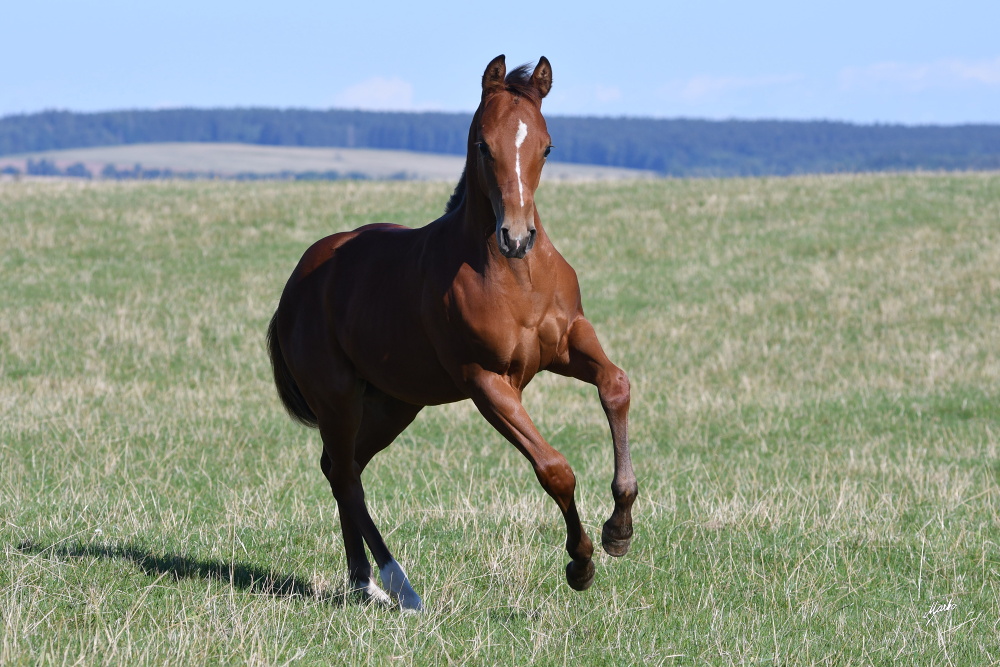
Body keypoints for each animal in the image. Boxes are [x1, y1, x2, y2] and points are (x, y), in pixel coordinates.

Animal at [266, 56, 636, 612]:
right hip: (338, 398)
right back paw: (395, 585)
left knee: (340, 466)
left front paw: (620, 528)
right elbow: (555, 469)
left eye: (546, 146)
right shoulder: (487, 382)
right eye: (484, 144)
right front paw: (580, 563)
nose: (517, 236)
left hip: (394, 403)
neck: (514, 276)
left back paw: (364, 580)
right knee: (347, 476)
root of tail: (296, 285)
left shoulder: (569, 342)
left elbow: (616, 386)